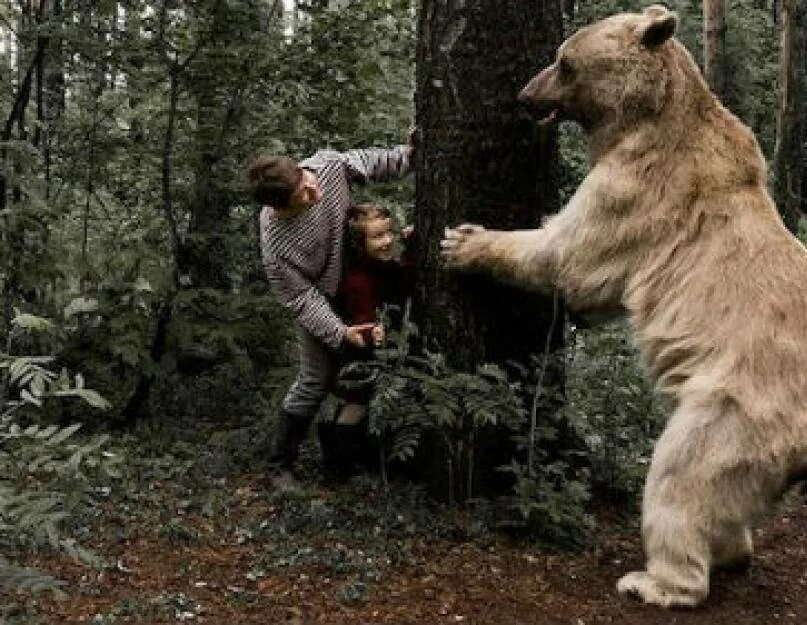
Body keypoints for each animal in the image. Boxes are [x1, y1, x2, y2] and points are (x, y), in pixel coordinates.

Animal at [438, 3, 807, 608]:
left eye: (563, 59)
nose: (525, 94)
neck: (648, 118)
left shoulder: (640, 188)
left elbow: (570, 255)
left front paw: (465, 241)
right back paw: (733, 550)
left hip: (737, 406)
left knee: (682, 476)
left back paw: (656, 580)